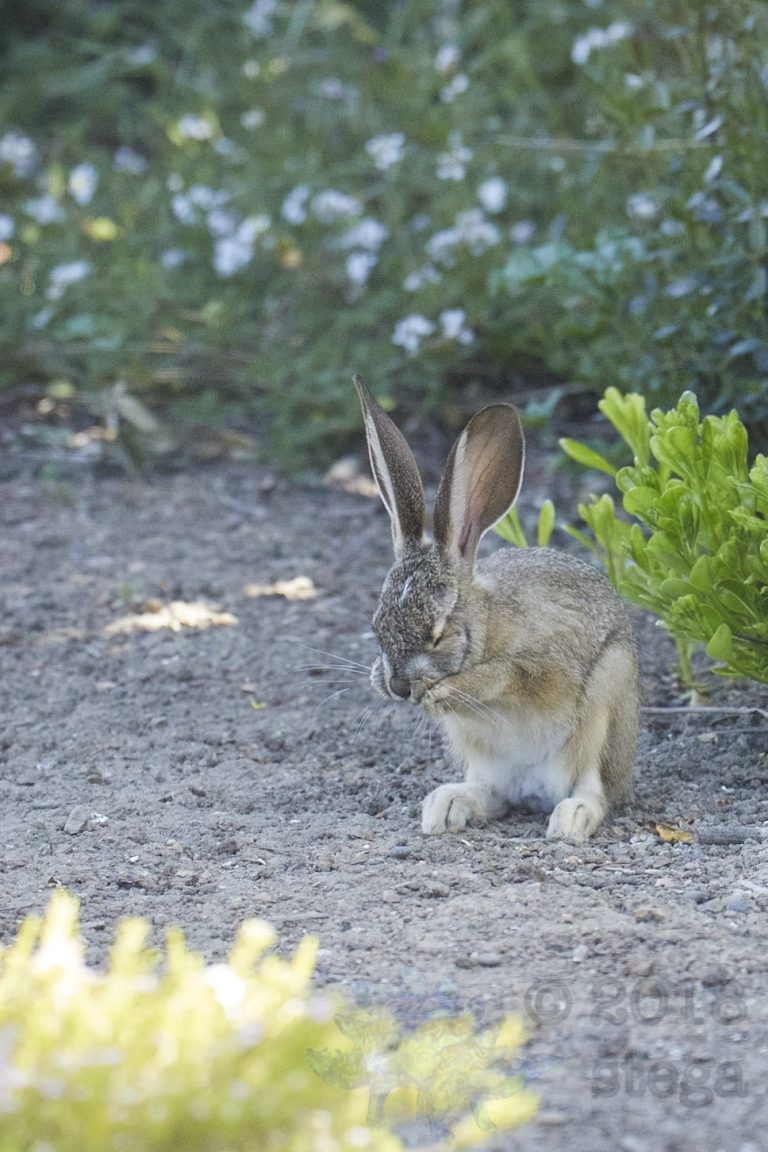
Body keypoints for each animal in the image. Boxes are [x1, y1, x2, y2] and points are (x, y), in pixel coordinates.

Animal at [354, 375, 638, 842]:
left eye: (438, 633)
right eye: (377, 627)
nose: (397, 687)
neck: (485, 627)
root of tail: (535, 793)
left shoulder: (550, 664)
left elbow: (513, 672)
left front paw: (452, 691)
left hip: (605, 703)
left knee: (593, 789)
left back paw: (571, 819)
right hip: (484, 759)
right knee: (492, 795)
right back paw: (445, 806)